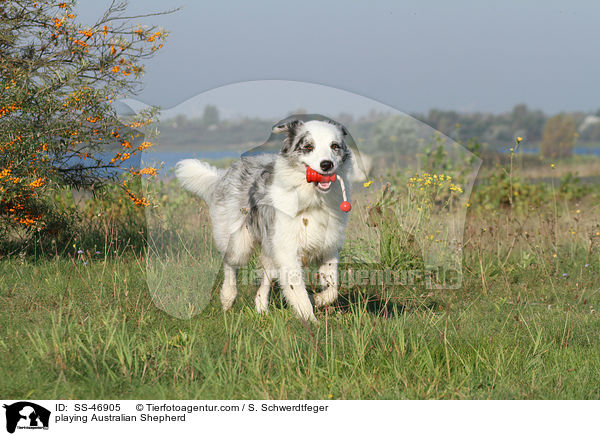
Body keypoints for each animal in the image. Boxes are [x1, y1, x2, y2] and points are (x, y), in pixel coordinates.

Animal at [175, 117, 352, 322]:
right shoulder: (288, 251)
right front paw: (310, 320)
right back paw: (227, 298)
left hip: (270, 249)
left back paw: (261, 309)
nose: (326, 165)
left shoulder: (328, 247)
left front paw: (319, 299)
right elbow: (297, 290)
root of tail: (226, 172)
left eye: (334, 146)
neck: (312, 198)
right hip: (239, 243)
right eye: (308, 146)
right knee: (229, 264)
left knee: (264, 281)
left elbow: (333, 288)